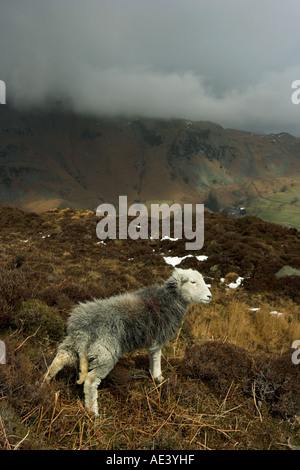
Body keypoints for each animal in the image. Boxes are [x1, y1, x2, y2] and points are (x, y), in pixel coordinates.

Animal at [45, 268, 213, 414]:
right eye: (193, 282)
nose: (209, 296)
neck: (169, 299)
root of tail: (84, 328)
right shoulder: (158, 339)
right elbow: (156, 358)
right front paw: (158, 378)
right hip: (105, 352)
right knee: (90, 381)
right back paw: (93, 412)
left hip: (73, 344)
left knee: (59, 360)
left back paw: (44, 383)